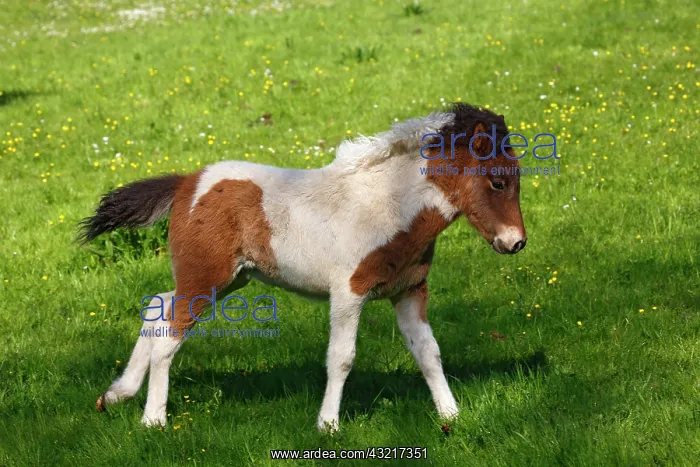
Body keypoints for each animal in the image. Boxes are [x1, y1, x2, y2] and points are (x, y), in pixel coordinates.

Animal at [80, 103, 527, 432]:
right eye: (498, 182)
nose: (516, 242)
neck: (388, 205)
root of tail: (186, 183)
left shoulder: (408, 291)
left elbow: (428, 352)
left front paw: (451, 415)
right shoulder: (349, 292)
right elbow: (341, 357)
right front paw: (328, 425)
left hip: (225, 280)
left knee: (157, 306)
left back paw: (117, 394)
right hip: (206, 279)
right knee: (169, 335)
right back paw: (153, 420)